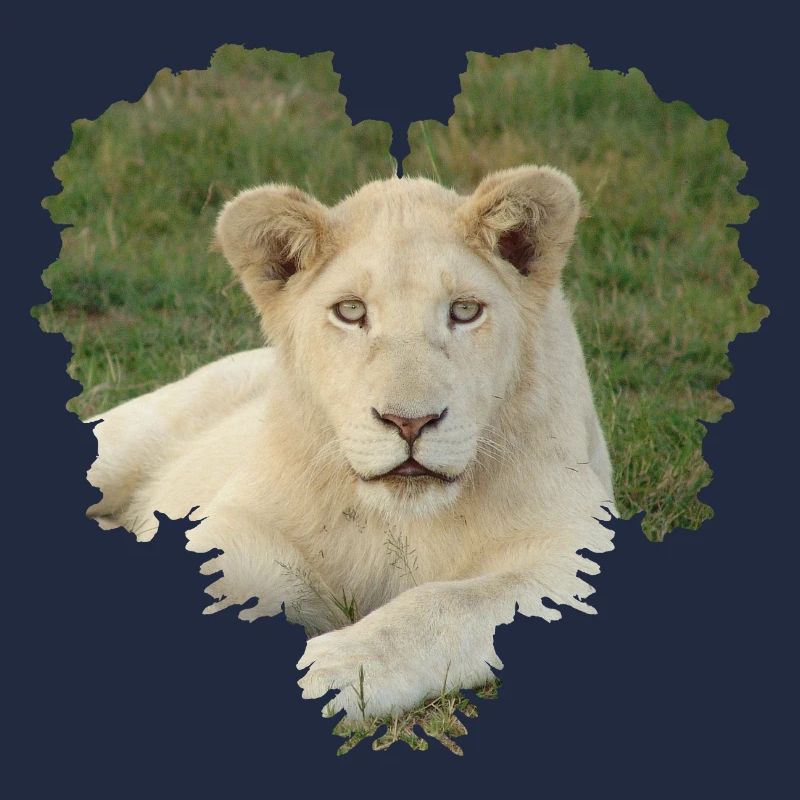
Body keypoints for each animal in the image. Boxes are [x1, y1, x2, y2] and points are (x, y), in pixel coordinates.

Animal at [86, 165, 615, 719]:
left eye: (466, 310)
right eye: (351, 311)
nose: (409, 422)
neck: (400, 521)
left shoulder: (578, 542)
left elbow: (447, 603)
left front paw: (330, 669)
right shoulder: (245, 530)